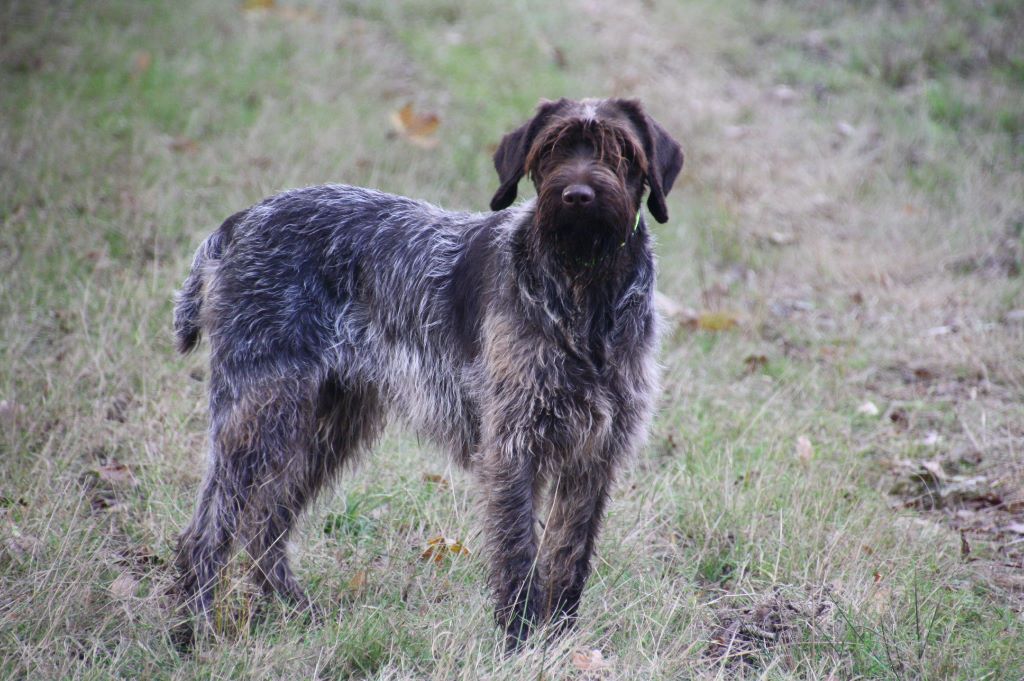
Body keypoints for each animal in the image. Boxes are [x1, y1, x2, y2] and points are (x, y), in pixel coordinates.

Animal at [172, 96, 684, 647]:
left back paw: (295, 610)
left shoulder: (594, 453)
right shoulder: (512, 443)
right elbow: (517, 553)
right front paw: (518, 642)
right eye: (552, 149)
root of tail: (238, 224)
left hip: (327, 425)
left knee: (265, 523)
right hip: (261, 414)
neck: (585, 295)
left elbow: (569, 557)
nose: (578, 197)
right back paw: (194, 634)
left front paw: (559, 643)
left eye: (622, 152)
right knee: (206, 535)